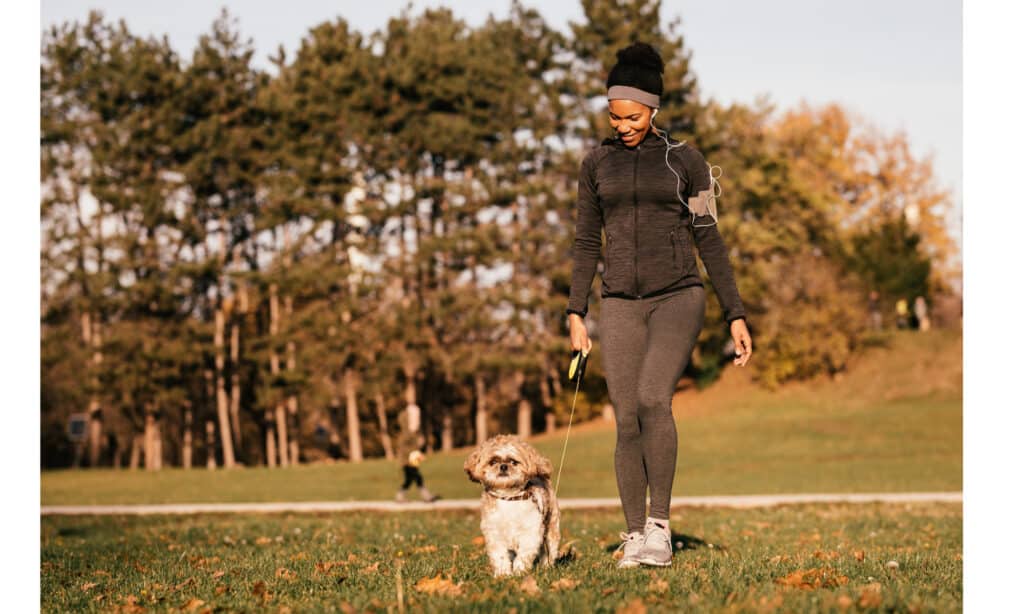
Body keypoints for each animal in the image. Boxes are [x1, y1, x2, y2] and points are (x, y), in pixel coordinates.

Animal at [464, 431, 561, 577]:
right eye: (493, 461)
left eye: (513, 462)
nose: (503, 466)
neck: (508, 498)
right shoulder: (494, 533)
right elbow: (499, 555)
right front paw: (503, 574)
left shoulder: (530, 532)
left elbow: (524, 554)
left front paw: (519, 571)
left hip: (551, 527)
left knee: (549, 549)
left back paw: (546, 566)